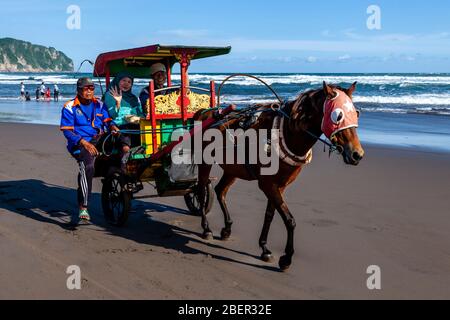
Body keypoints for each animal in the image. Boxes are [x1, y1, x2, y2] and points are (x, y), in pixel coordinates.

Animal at [192, 81, 364, 272]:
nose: (357, 154)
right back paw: (206, 228)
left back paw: (227, 229)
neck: (287, 133)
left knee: (220, 190)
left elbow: (270, 215)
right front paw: (286, 258)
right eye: (338, 116)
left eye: (356, 113)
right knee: (201, 190)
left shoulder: (279, 185)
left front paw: (264, 248)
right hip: (204, 162)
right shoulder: (268, 185)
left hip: (233, 169)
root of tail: (205, 112)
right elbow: (289, 220)